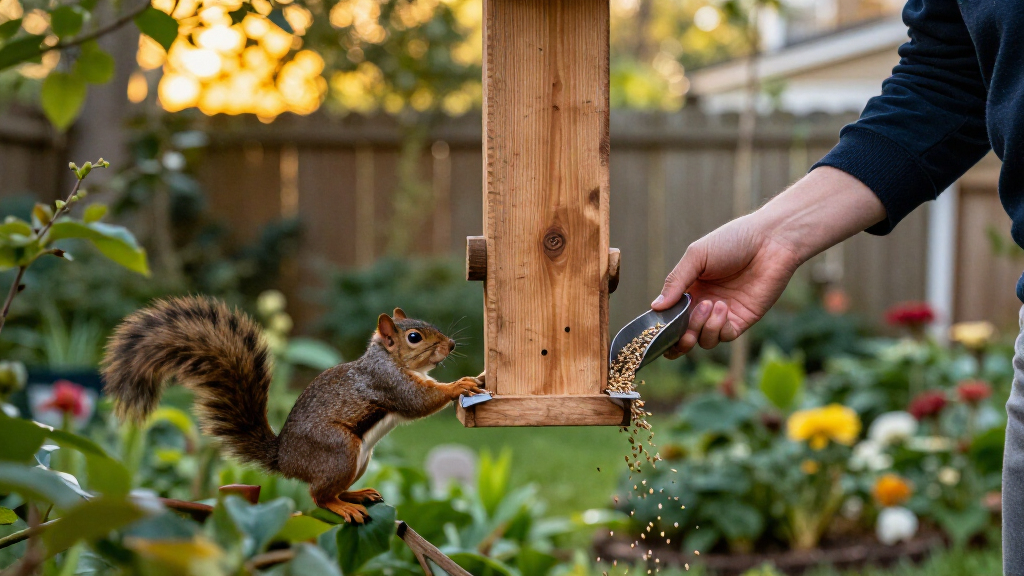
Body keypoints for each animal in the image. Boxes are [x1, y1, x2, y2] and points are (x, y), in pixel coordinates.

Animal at [101, 296, 484, 523]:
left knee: (328, 490)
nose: (451, 344)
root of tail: (284, 459)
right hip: (340, 449)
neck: (390, 360)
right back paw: (344, 506)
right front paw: (459, 385)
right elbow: (419, 401)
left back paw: (356, 494)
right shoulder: (387, 383)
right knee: (318, 496)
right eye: (414, 337)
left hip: (359, 460)